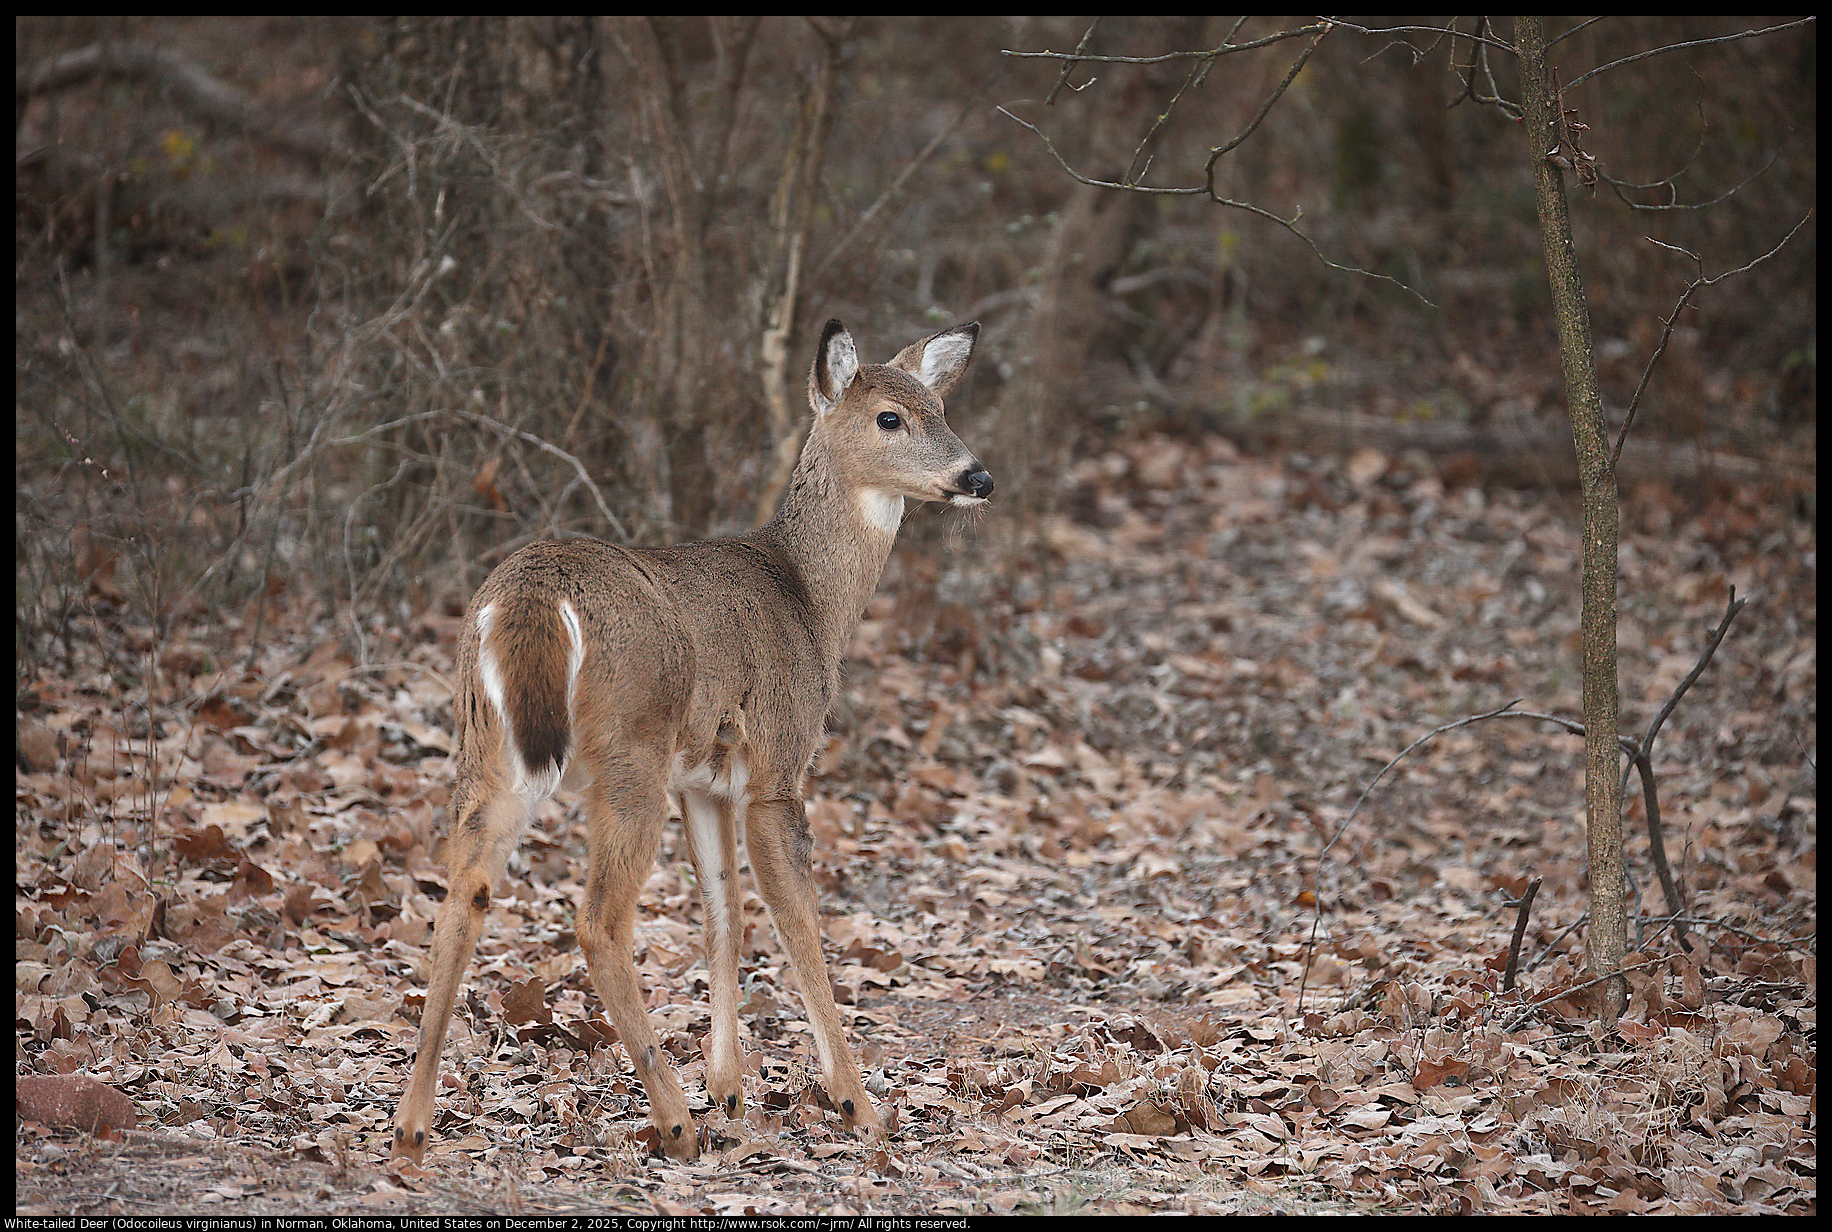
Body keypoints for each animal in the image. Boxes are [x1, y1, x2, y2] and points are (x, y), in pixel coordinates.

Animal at [390, 318, 993, 1164]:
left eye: (940, 406)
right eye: (889, 418)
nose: (978, 476)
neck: (811, 601)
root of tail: (530, 597)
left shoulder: (703, 782)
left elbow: (723, 912)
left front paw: (730, 1088)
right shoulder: (777, 764)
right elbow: (796, 919)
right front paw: (855, 1105)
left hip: (488, 750)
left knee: (461, 894)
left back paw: (410, 1126)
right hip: (628, 752)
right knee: (599, 919)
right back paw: (674, 1121)